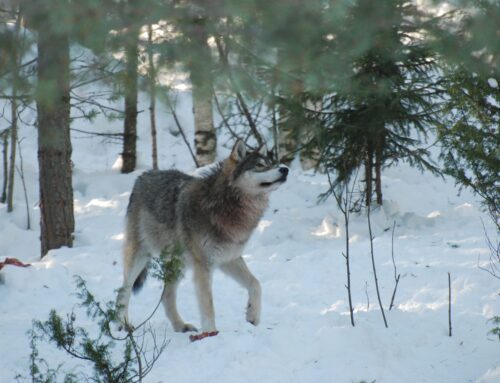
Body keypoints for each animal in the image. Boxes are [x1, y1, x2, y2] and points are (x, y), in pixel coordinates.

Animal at [116, 141, 290, 340]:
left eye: (271, 163)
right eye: (260, 166)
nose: (285, 169)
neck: (225, 204)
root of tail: (142, 176)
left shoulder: (229, 259)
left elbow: (256, 284)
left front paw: (252, 316)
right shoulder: (204, 265)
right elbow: (208, 304)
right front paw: (210, 333)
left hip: (177, 265)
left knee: (166, 297)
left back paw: (181, 326)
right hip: (139, 258)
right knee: (123, 292)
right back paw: (123, 325)